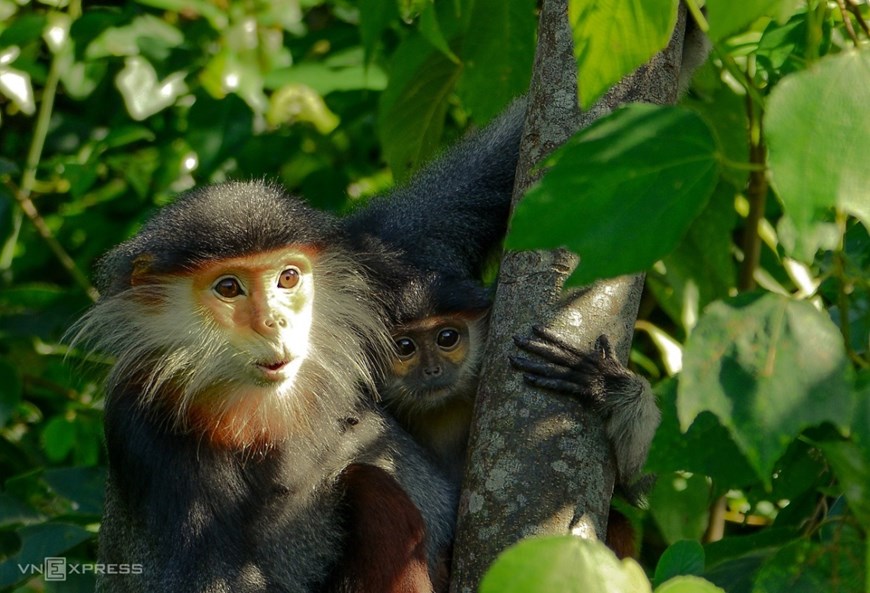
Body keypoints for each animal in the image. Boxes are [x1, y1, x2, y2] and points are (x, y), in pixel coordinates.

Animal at [70, 103, 524, 592]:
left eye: (288, 277)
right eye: (228, 287)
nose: (276, 320)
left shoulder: (372, 257)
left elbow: (484, 178)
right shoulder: (147, 431)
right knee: (372, 489)